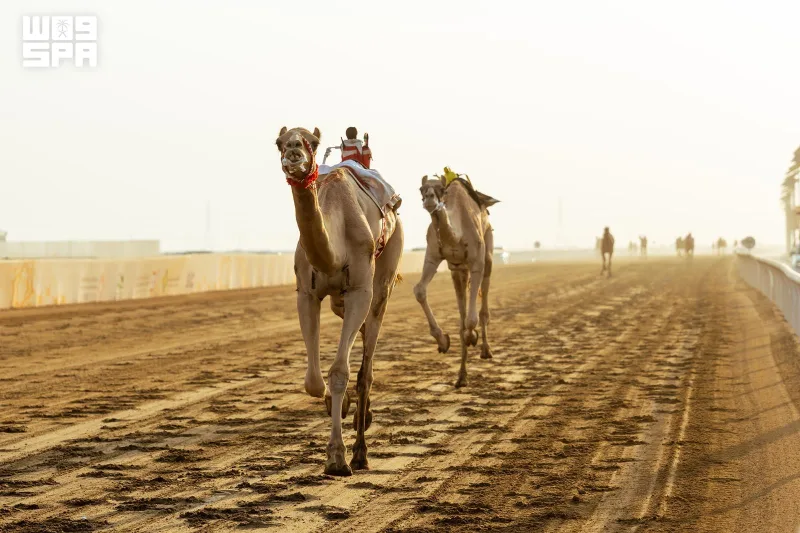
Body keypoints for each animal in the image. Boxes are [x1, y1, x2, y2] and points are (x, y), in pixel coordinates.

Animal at [276, 126, 404, 476]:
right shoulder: (307, 294)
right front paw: (336, 406)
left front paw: (337, 458)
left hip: (384, 280)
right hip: (339, 300)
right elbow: (313, 381)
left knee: (366, 368)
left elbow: (340, 373)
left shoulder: (360, 290)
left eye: (312, 142)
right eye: (279, 142)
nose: (294, 152)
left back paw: (360, 452)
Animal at [414, 172, 497, 388]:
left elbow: (471, 319)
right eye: (421, 189)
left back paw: (485, 350)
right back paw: (461, 377)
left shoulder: (476, 262)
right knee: (462, 315)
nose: (429, 199)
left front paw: (473, 336)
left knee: (482, 308)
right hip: (458, 271)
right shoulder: (434, 256)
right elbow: (419, 290)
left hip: (487, 254)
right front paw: (443, 341)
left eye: (441, 189)